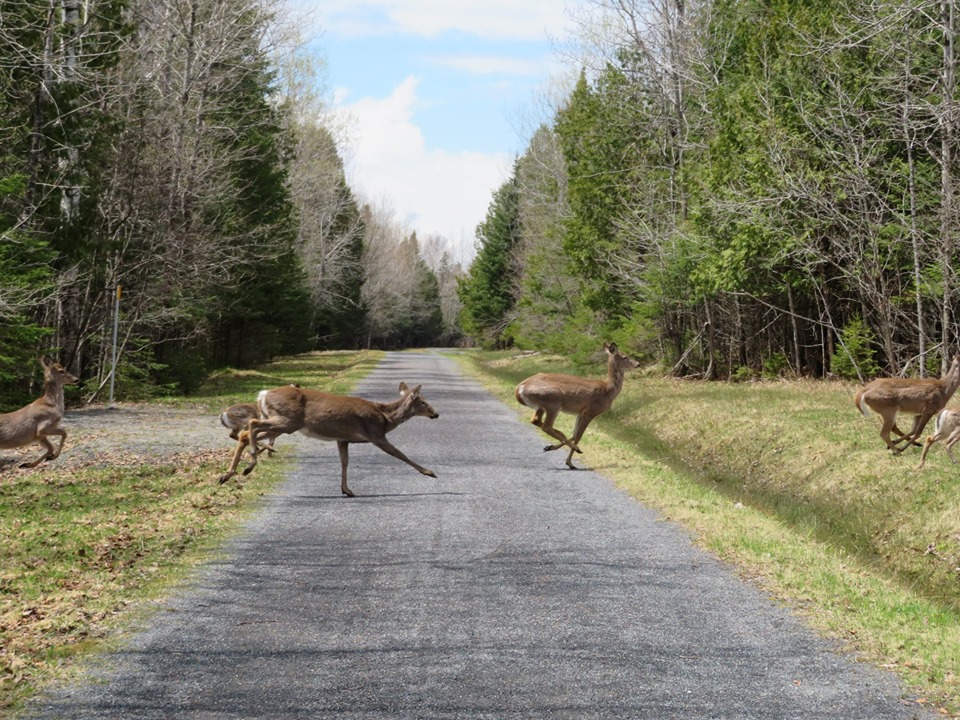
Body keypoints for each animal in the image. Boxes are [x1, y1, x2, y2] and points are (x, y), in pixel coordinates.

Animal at [218, 382, 438, 496]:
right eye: (424, 402)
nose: (435, 413)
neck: (385, 418)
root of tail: (263, 395)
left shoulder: (343, 439)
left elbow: (344, 462)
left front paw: (346, 490)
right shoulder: (375, 434)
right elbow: (400, 454)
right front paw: (429, 472)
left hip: (284, 423)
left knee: (246, 434)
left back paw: (229, 473)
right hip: (287, 421)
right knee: (251, 426)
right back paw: (250, 462)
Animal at [512, 340, 640, 470]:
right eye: (625, 356)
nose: (638, 364)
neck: (607, 390)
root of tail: (519, 388)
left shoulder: (580, 412)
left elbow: (574, 434)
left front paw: (553, 448)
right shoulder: (590, 411)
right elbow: (579, 436)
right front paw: (570, 462)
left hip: (541, 406)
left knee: (535, 420)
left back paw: (554, 442)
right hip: (554, 400)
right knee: (546, 426)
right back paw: (575, 448)